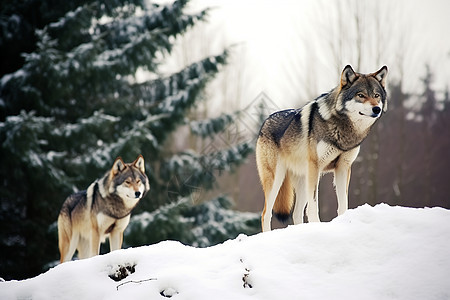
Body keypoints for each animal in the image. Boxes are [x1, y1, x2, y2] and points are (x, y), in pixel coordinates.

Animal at [256, 64, 386, 231]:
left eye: (376, 95)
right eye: (361, 95)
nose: (377, 109)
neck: (343, 129)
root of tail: (265, 122)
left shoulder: (343, 167)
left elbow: (343, 203)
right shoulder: (315, 167)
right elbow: (313, 206)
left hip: (302, 181)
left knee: (296, 213)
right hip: (276, 180)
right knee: (265, 214)